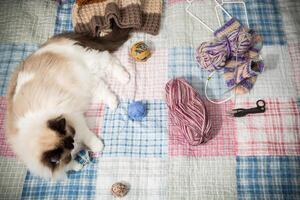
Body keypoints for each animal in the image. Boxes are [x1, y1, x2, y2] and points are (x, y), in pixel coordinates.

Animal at [5, 25, 131, 180]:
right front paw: (77, 166)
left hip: (88, 66)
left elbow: (88, 136)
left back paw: (124, 79)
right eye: (69, 150)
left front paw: (98, 146)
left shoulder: (75, 118)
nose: (74, 144)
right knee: (101, 85)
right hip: (86, 80)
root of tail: (51, 43)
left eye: (72, 139)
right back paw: (113, 101)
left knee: (108, 60)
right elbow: (67, 167)